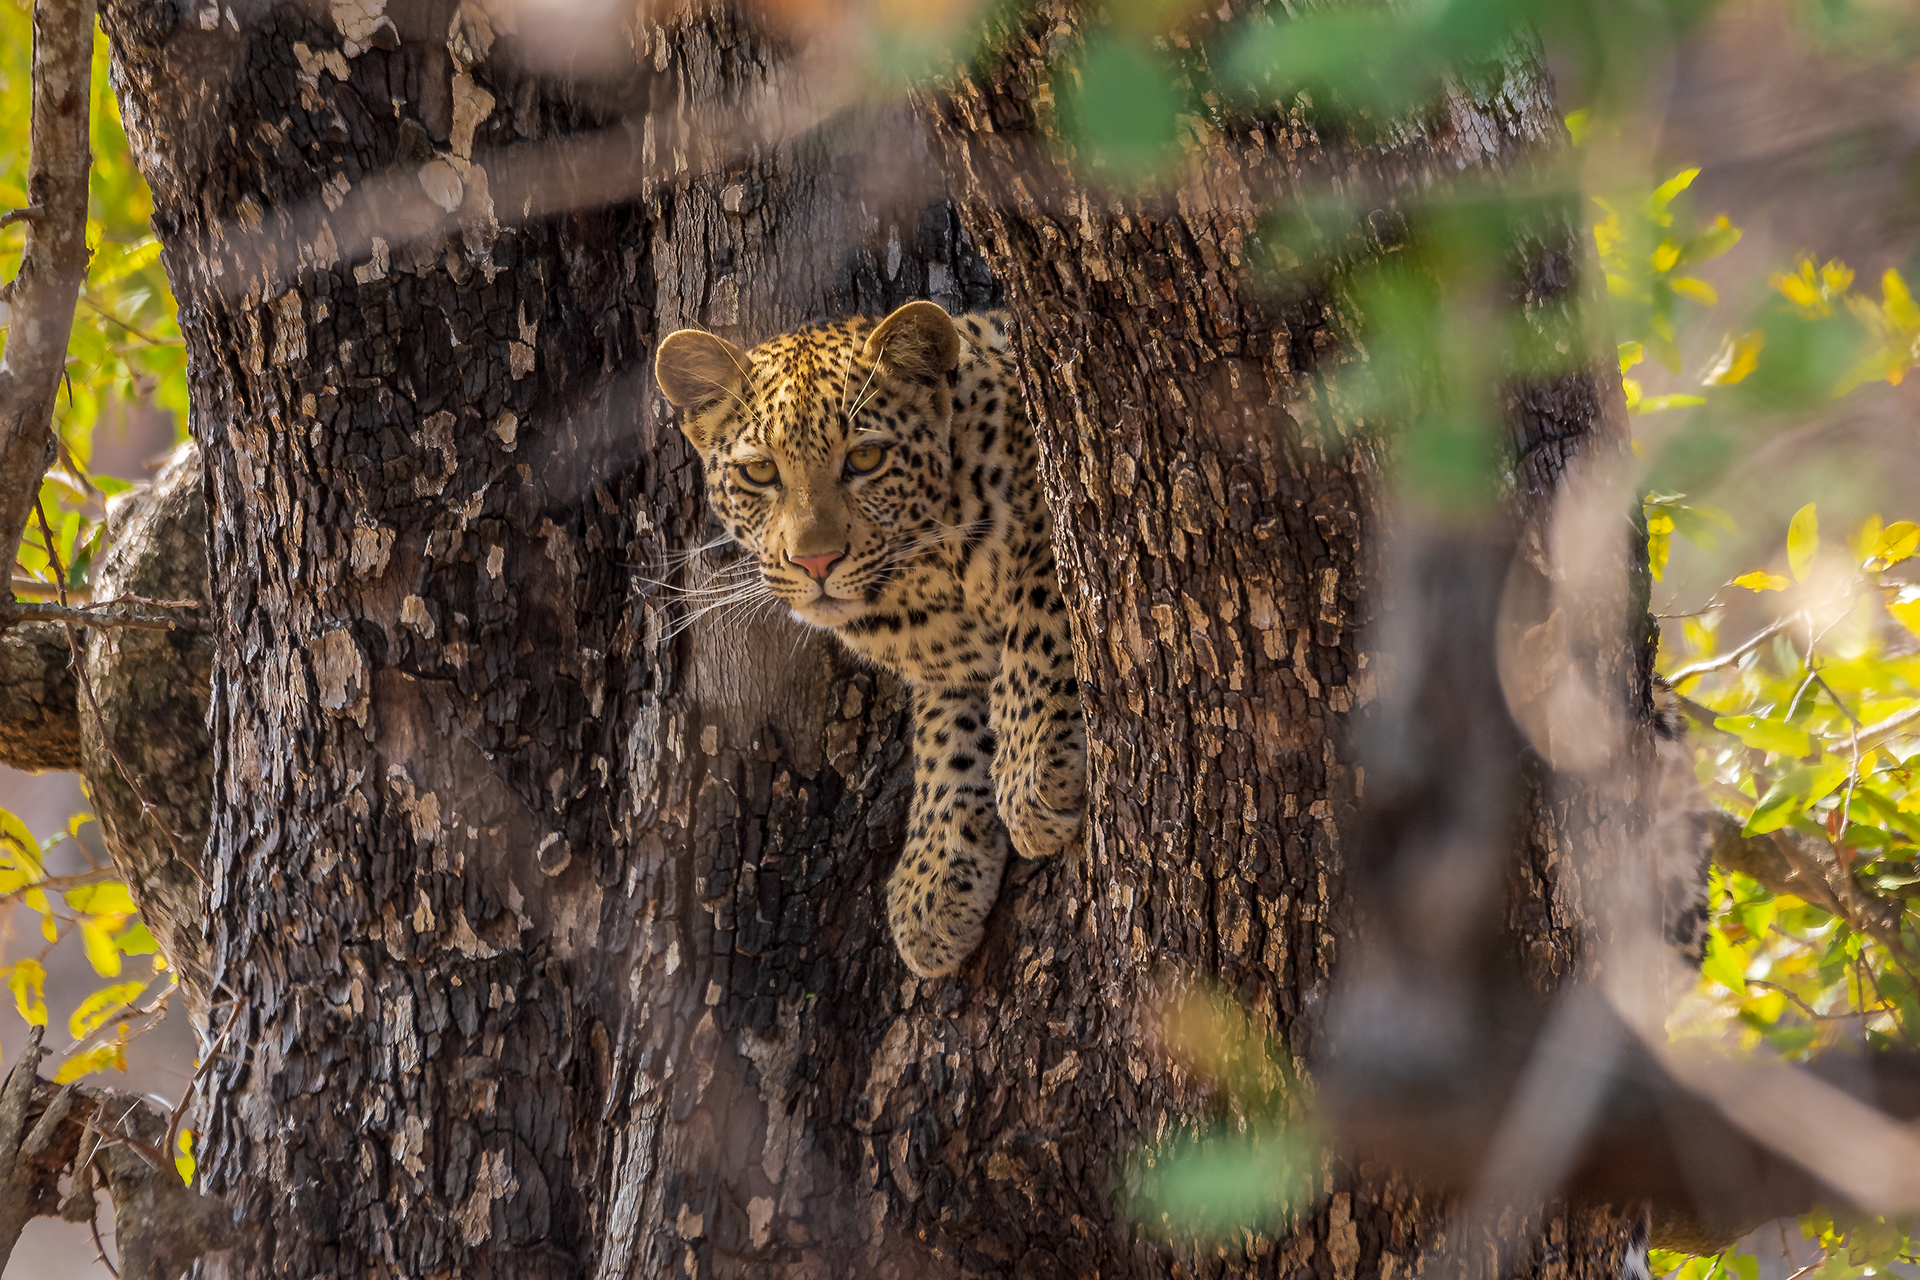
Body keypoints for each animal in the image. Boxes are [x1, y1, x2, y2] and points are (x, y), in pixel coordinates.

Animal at [653, 301, 1087, 977]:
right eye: (760, 471)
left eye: (865, 461)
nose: (817, 561)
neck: (925, 580)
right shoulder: (945, 664)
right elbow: (943, 728)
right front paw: (931, 885)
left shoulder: (1052, 514)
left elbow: (1040, 605)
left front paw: (1032, 769)